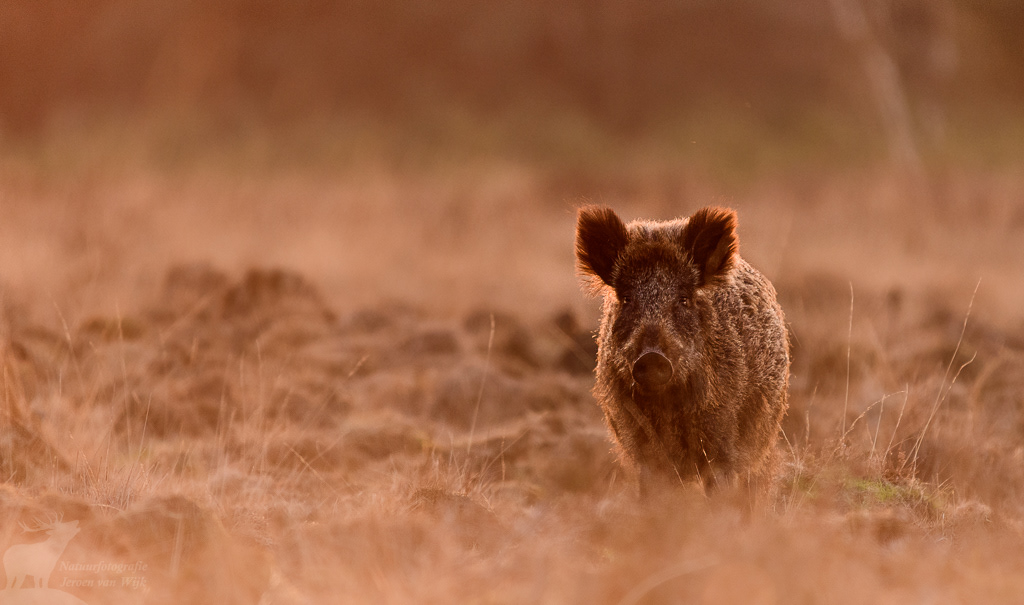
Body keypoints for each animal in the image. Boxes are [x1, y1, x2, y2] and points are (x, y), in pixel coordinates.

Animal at [575, 205, 789, 495]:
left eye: (684, 298)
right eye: (627, 298)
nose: (652, 357)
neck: (667, 405)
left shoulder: (722, 437)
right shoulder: (639, 444)